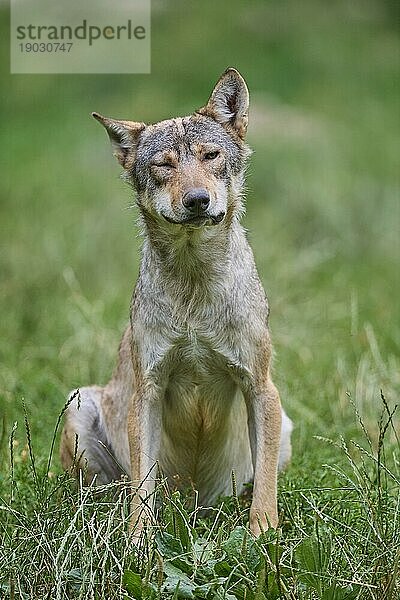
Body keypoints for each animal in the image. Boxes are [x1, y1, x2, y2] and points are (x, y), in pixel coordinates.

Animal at [60, 68, 290, 536]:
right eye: (164, 165)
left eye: (210, 156)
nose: (197, 200)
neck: (194, 284)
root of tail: (196, 505)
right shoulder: (147, 391)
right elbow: (141, 492)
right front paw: (138, 544)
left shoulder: (260, 387)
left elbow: (266, 490)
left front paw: (263, 537)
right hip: (79, 406)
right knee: (112, 492)